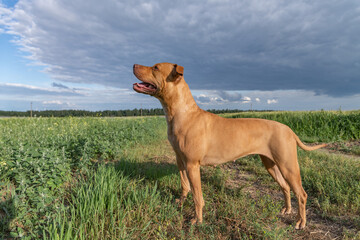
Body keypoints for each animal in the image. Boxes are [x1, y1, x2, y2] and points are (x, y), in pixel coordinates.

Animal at [133, 62, 326, 229]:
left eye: (155, 67)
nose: (134, 65)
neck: (181, 112)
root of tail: (289, 129)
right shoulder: (180, 160)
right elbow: (184, 185)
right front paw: (180, 203)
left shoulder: (192, 165)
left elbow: (197, 196)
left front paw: (197, 220)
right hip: (270, 164)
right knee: (285, 187)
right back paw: (287, 210)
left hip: (288, 165)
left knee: (301, 193)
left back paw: (301, 222)